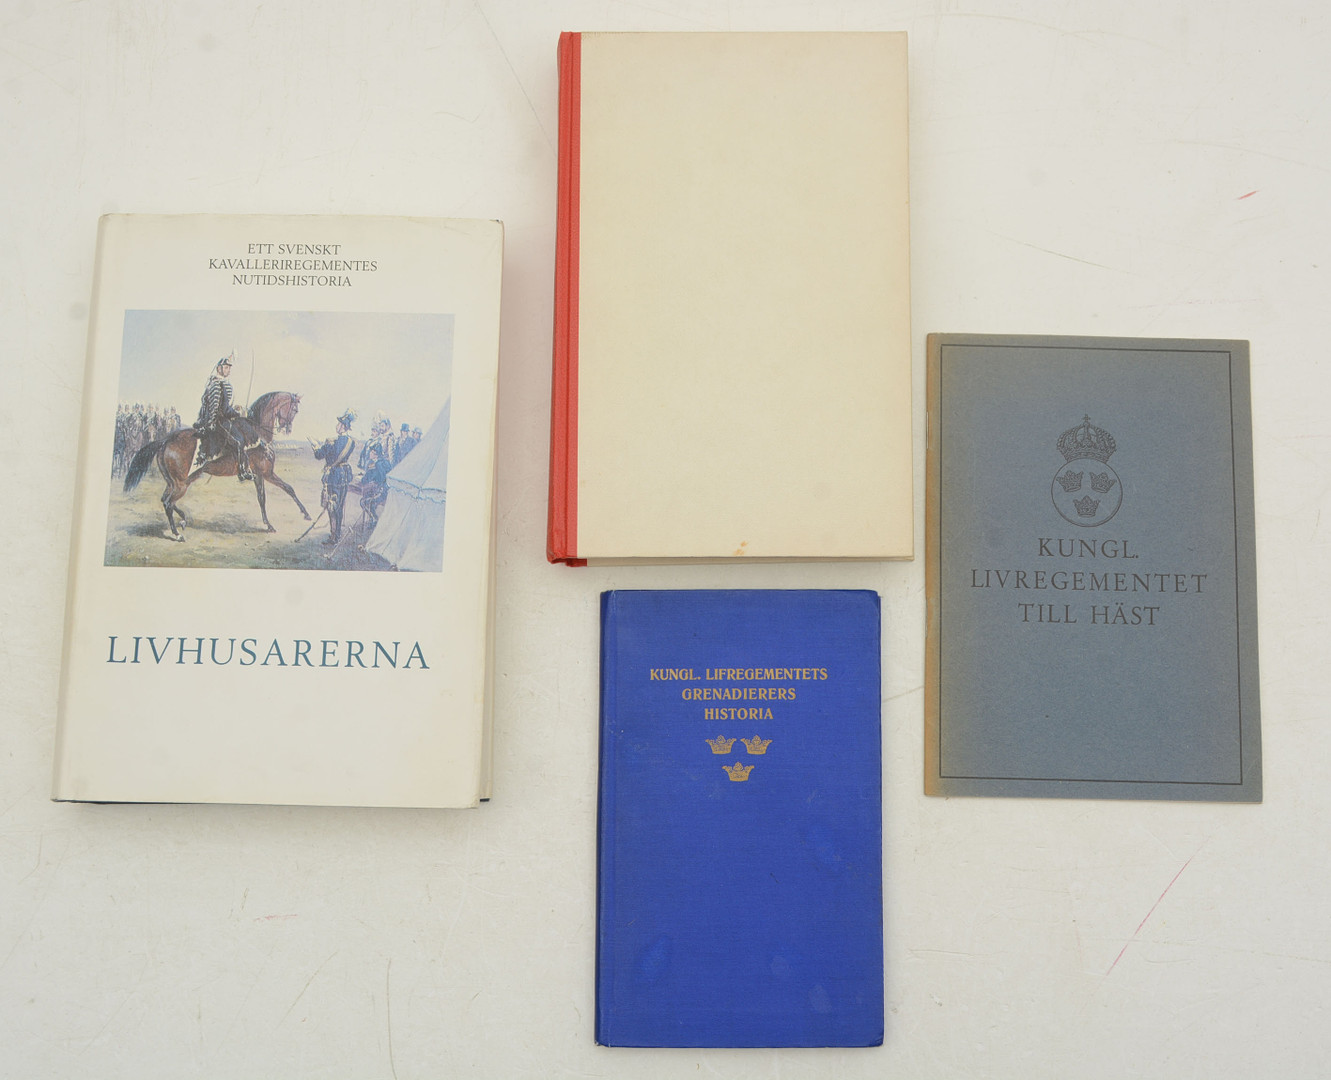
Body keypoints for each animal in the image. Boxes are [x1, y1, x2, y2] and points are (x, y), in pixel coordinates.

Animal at [123, 391, 312, 541]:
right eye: (295, 410)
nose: (287, 429)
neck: (258, 431)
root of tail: (166, 440)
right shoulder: (267, 473)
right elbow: (288, 489)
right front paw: (305, 514)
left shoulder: (259, 475)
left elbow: (264, 498)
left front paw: (270, 524)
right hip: (182, 484)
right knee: (168, 503)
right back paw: (177, 534)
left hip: (176, 482)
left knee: (164, 500)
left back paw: (183, 519)